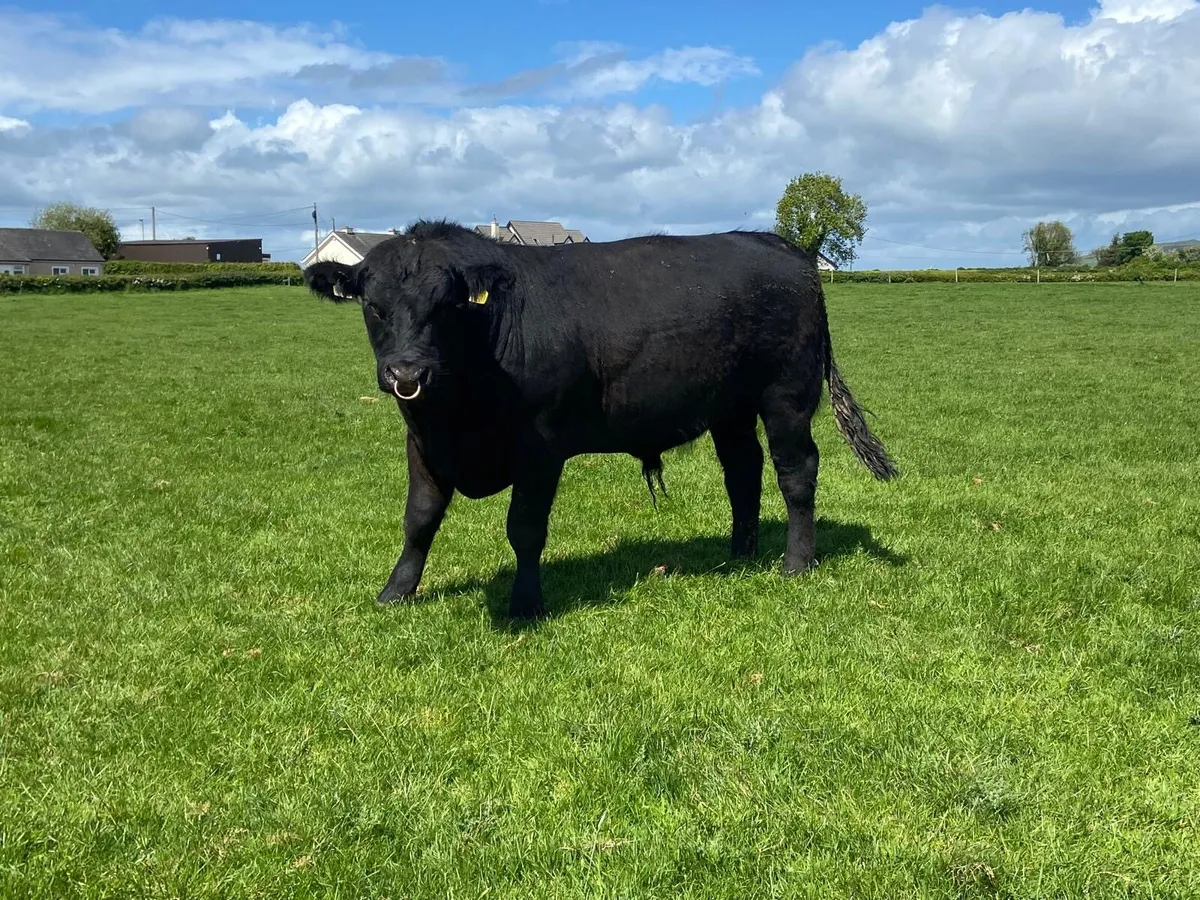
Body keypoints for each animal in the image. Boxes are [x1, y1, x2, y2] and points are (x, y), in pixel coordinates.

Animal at [303, 219, 897, 619]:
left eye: (446, 305)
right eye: (374, 306)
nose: (408, 372)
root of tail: (781, 247)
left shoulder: (539, 447)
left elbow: (524, 529)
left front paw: (525, 604)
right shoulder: (423, 442)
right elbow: (419, 519)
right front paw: (396, 591)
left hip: (786, 396)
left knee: (796, 471)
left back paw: (795, 562)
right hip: (730, 407)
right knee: (743, 471)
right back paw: (739, 555)